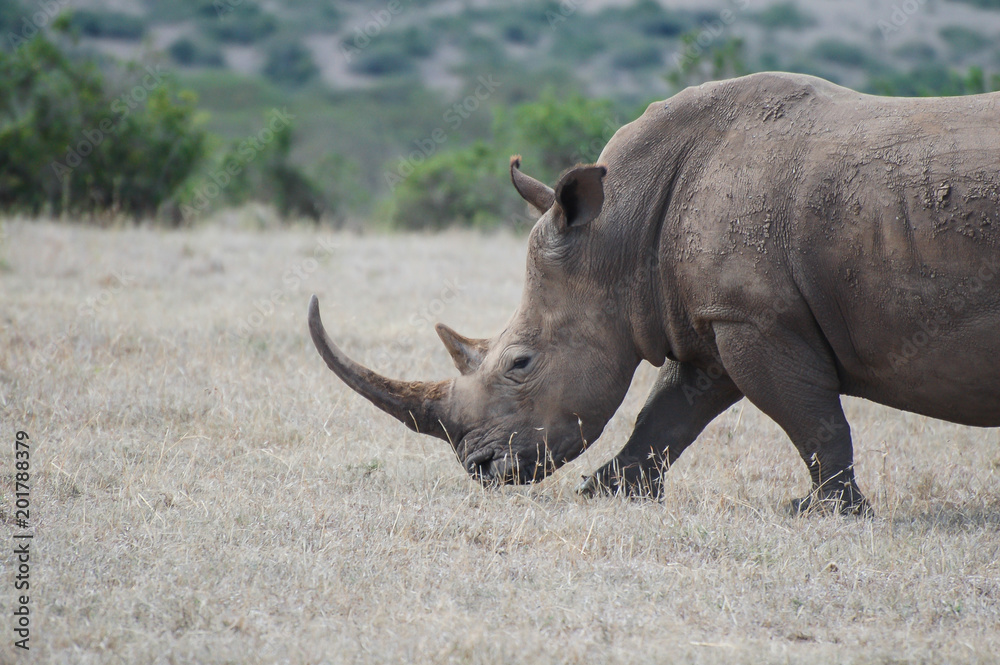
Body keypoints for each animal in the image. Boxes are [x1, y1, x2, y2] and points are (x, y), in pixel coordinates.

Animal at [309, 72, 1000, 514]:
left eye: (520, 363)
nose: (480, 469)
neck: (618, 231)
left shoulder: (756, 318)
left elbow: (812, 416)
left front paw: (828, 511)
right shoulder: (721, 319)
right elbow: (667, 414)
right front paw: (606, 492)